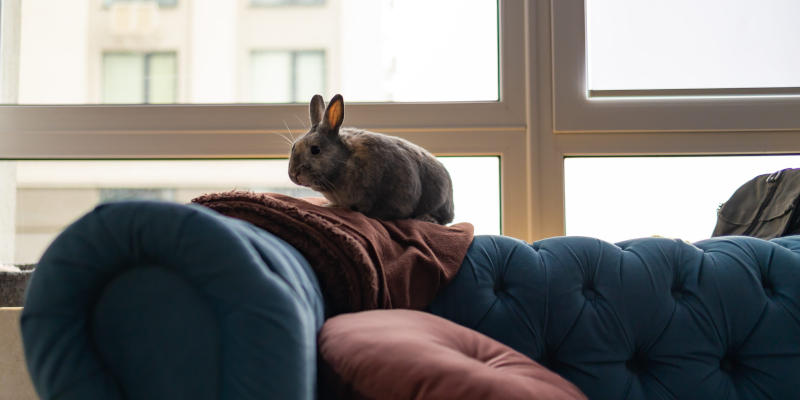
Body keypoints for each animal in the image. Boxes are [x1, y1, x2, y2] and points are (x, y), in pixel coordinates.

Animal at [288, 94, 454, 225]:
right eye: (294, 146)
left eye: (315, 150)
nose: (294, 174)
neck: (344, 161)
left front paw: (330, 207)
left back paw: (426, 219)